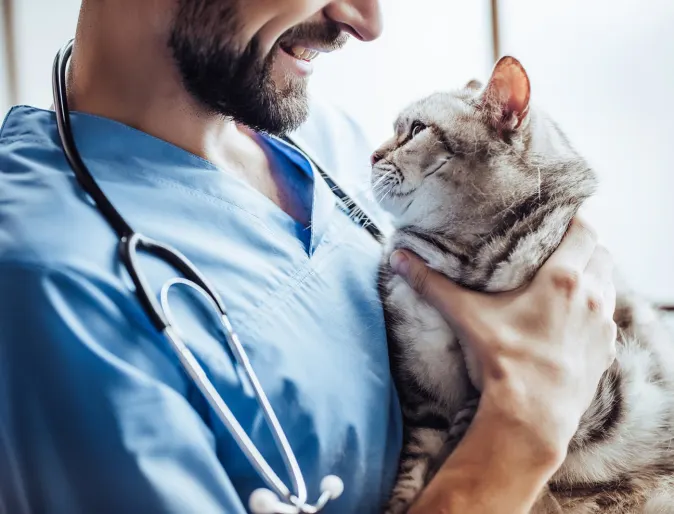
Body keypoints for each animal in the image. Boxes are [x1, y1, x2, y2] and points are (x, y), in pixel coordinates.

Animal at [370, 54, 672, 510]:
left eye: (417, 129)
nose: (372, 155)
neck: (457, 259)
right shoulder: (422, 395)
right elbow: (414, 464)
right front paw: (404, 499)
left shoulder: (610, 383)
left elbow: (468, 423)